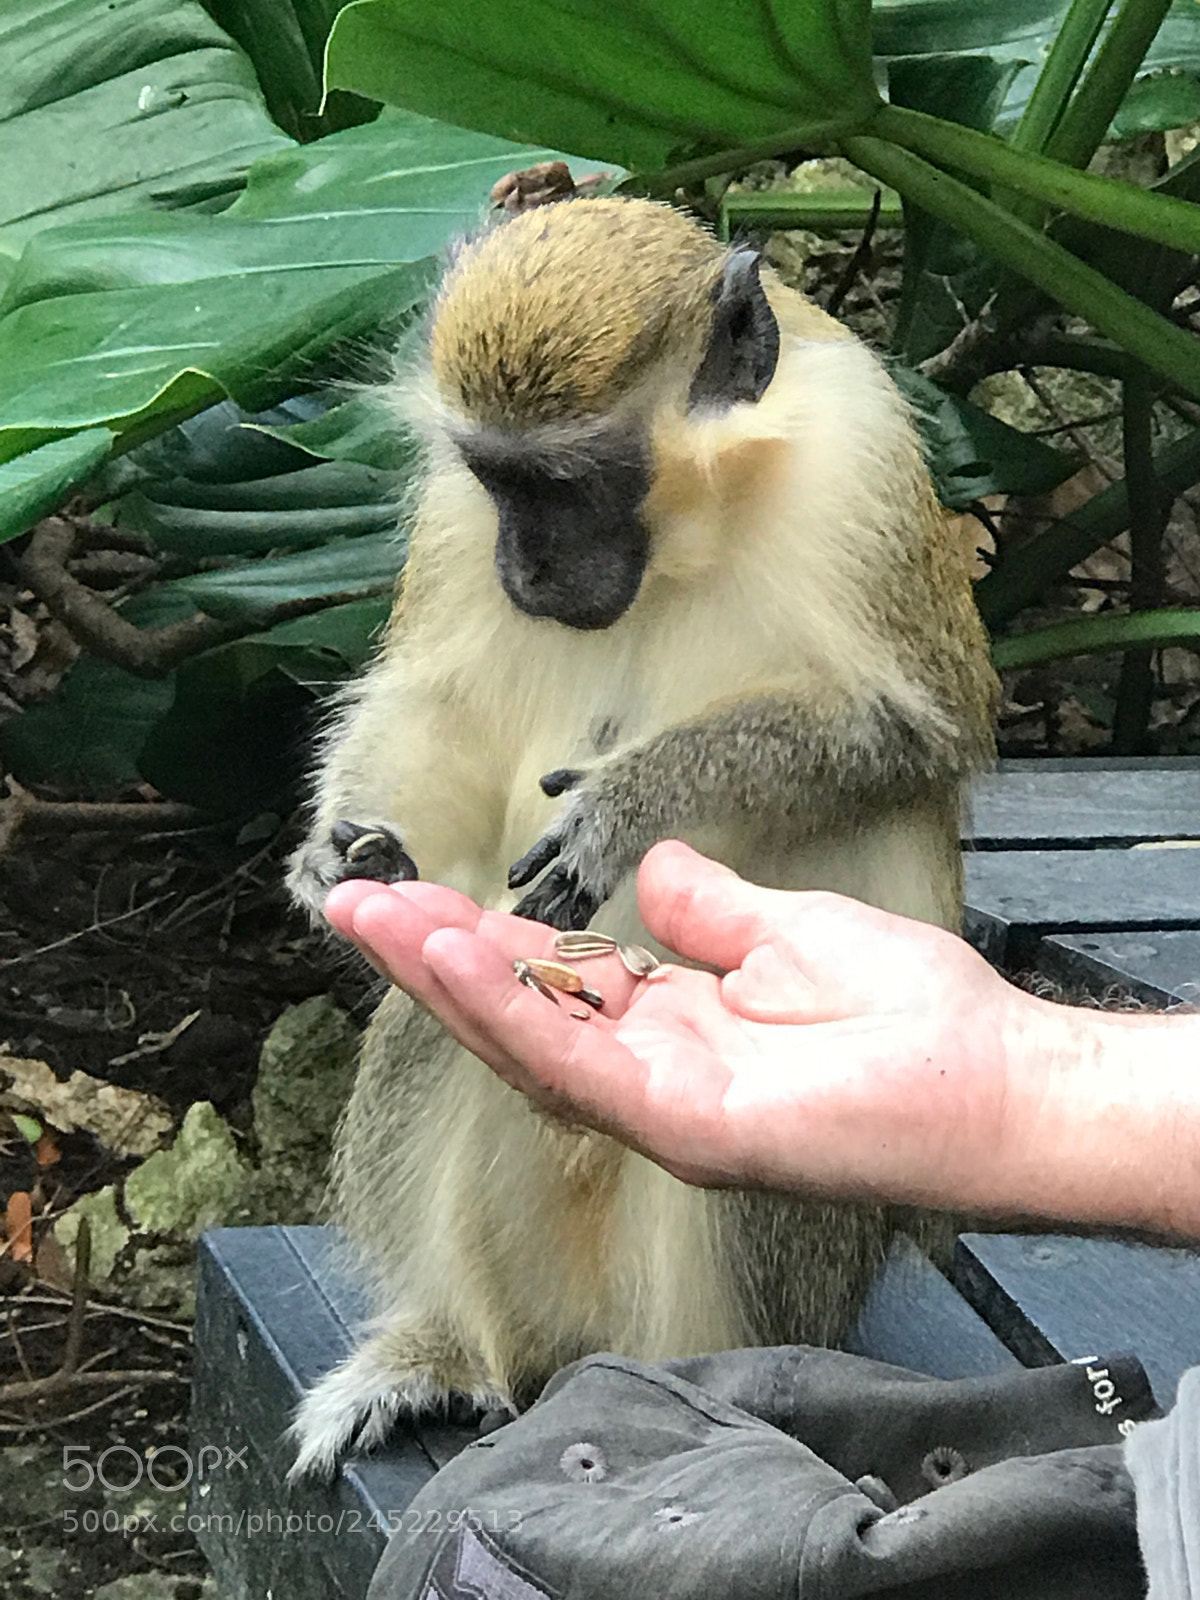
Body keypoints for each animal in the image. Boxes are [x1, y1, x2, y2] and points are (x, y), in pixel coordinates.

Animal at [285, 195, 998, 1481]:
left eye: (570, 482)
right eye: (497, 477)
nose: (524, 564)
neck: (696, 526)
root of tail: (586, 1338)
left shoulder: (864, 469)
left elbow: (904, 729)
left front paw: (628, 804)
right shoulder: (455, 520)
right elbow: (440, 706)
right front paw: (332, 851)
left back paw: (704, 1398)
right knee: (429, 1027)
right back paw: (446, 1349)